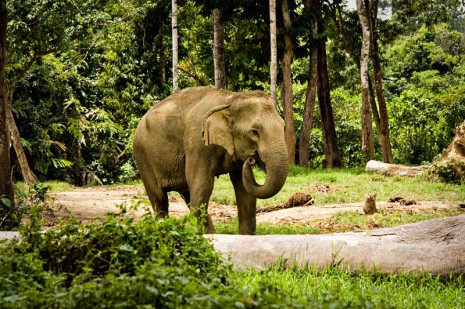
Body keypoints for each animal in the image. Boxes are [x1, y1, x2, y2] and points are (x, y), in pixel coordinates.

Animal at [132, 85, 288, 235]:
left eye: (283, 126)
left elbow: (244, 191)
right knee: (160, 200)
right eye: (254, 133)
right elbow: (202, 186)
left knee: (188, 195)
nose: (251, 159)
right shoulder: (198, 143)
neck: (229, 101)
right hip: (142, 156)